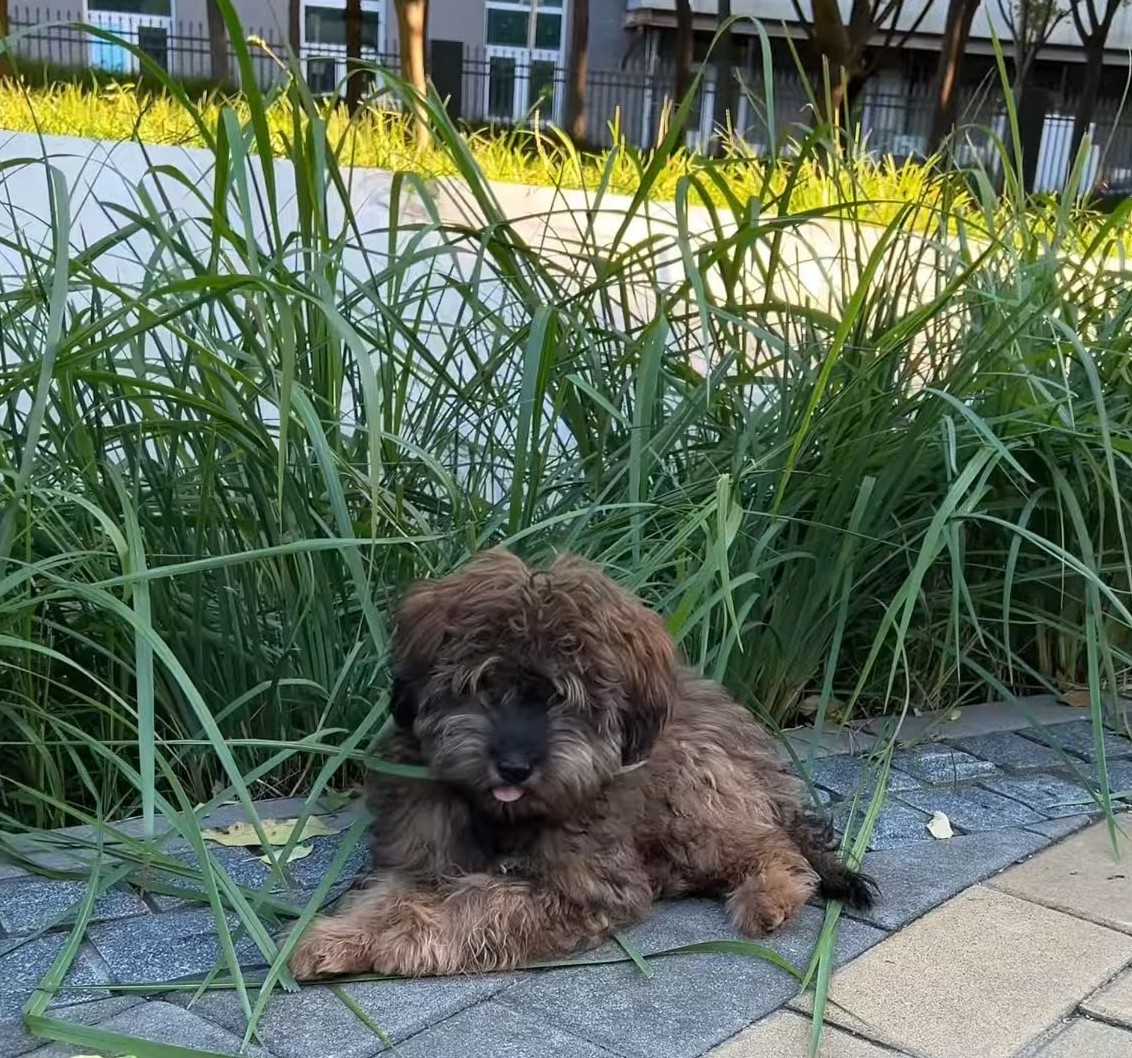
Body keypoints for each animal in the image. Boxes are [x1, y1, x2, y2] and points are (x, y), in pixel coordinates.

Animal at [289, 549, 873, 982]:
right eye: (484, 685)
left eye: (564, 699)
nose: (514, 766)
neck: (505, 817)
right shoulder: (419, 849)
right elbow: (389, 891)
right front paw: (340, 936)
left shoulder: (585, 887)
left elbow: (481, 902)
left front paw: (406, 936)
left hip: (696, 798)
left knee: (772, 846)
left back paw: (770, 894)